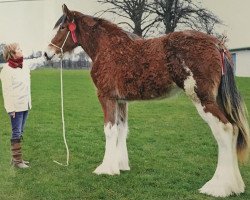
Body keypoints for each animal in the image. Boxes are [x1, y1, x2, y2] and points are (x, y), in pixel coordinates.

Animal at [44, 3, 249, 198]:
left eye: (62, 27)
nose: (47, 54)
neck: (107, 47)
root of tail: (217, 44)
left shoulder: (106, 97)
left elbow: (109, 131)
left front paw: (106, 169)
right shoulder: (121, 101)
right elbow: (122, 130)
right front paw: (120, 165)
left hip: (203, 100)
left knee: (225, 129)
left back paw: (218, 187)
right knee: (234, 129)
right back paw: (235, 186)